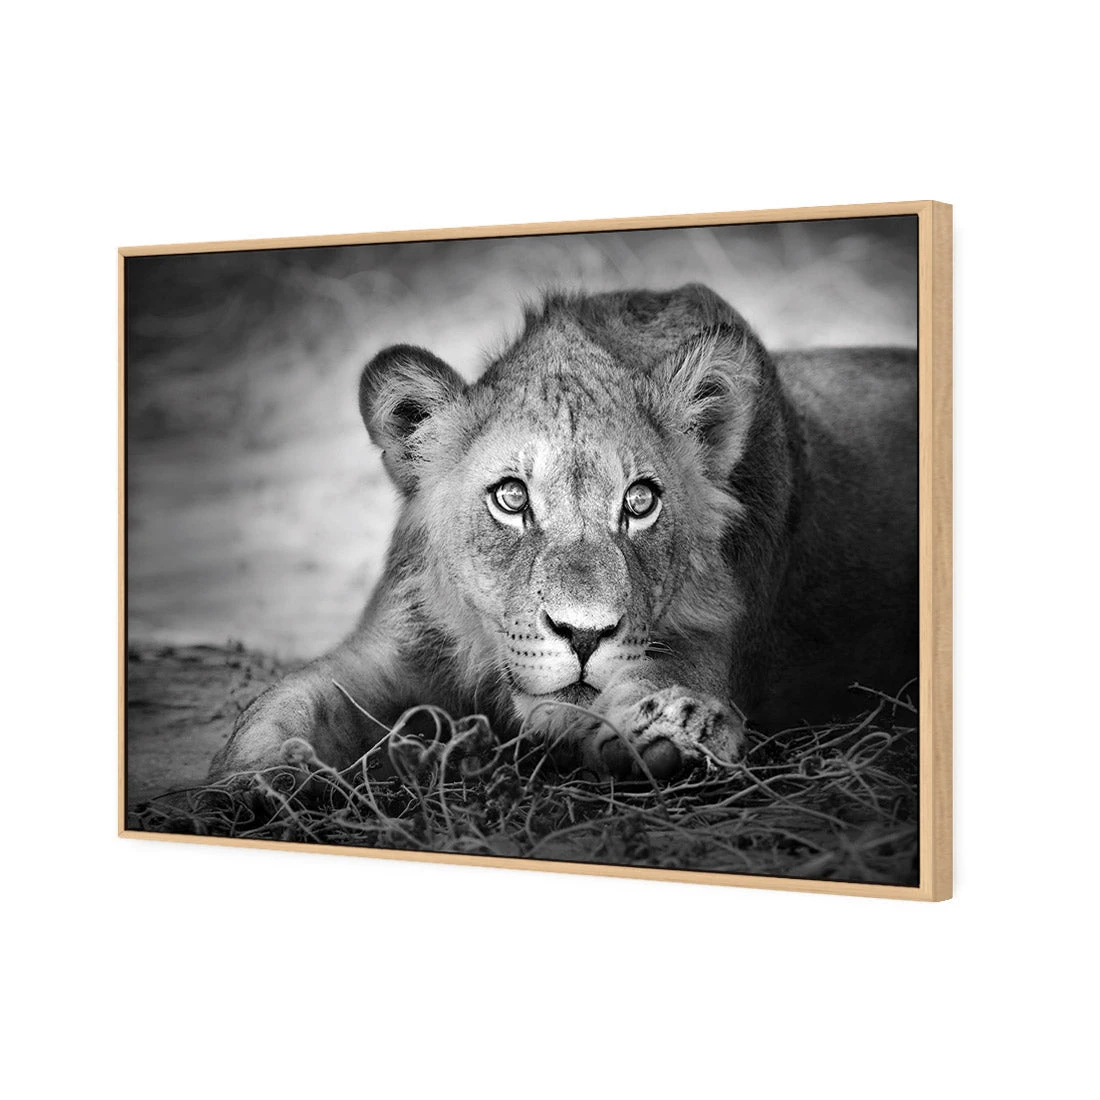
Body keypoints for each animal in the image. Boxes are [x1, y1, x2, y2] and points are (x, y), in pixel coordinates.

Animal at [210, 283, 917, 782]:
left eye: (640, 501)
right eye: (511, 497)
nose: (583, 635)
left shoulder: (712, 646)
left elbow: (643, 689)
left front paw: (672, 731)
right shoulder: (390, 648)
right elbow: (280, 705)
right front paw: (249, 785)